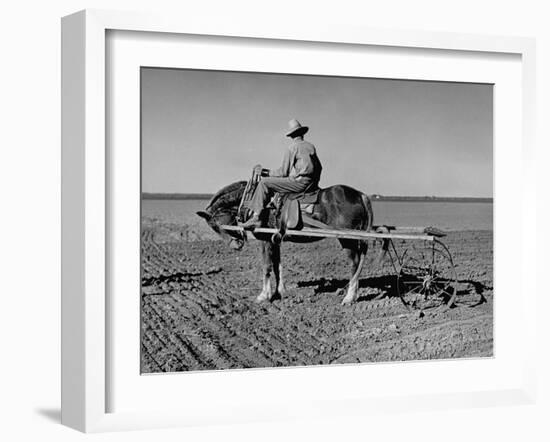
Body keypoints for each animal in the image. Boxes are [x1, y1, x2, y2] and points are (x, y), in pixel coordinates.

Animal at [197, 180, 384, 304]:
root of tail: (359, 195)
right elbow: (277, 266)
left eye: (216, 225)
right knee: (359, 262)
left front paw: (264, 296)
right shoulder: (276, 240)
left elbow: (266, 266)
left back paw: (349, 297)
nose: (235, 245)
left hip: (346, 239)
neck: (255, 203)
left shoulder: (266, 240)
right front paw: (279, 292)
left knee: (354, 264)